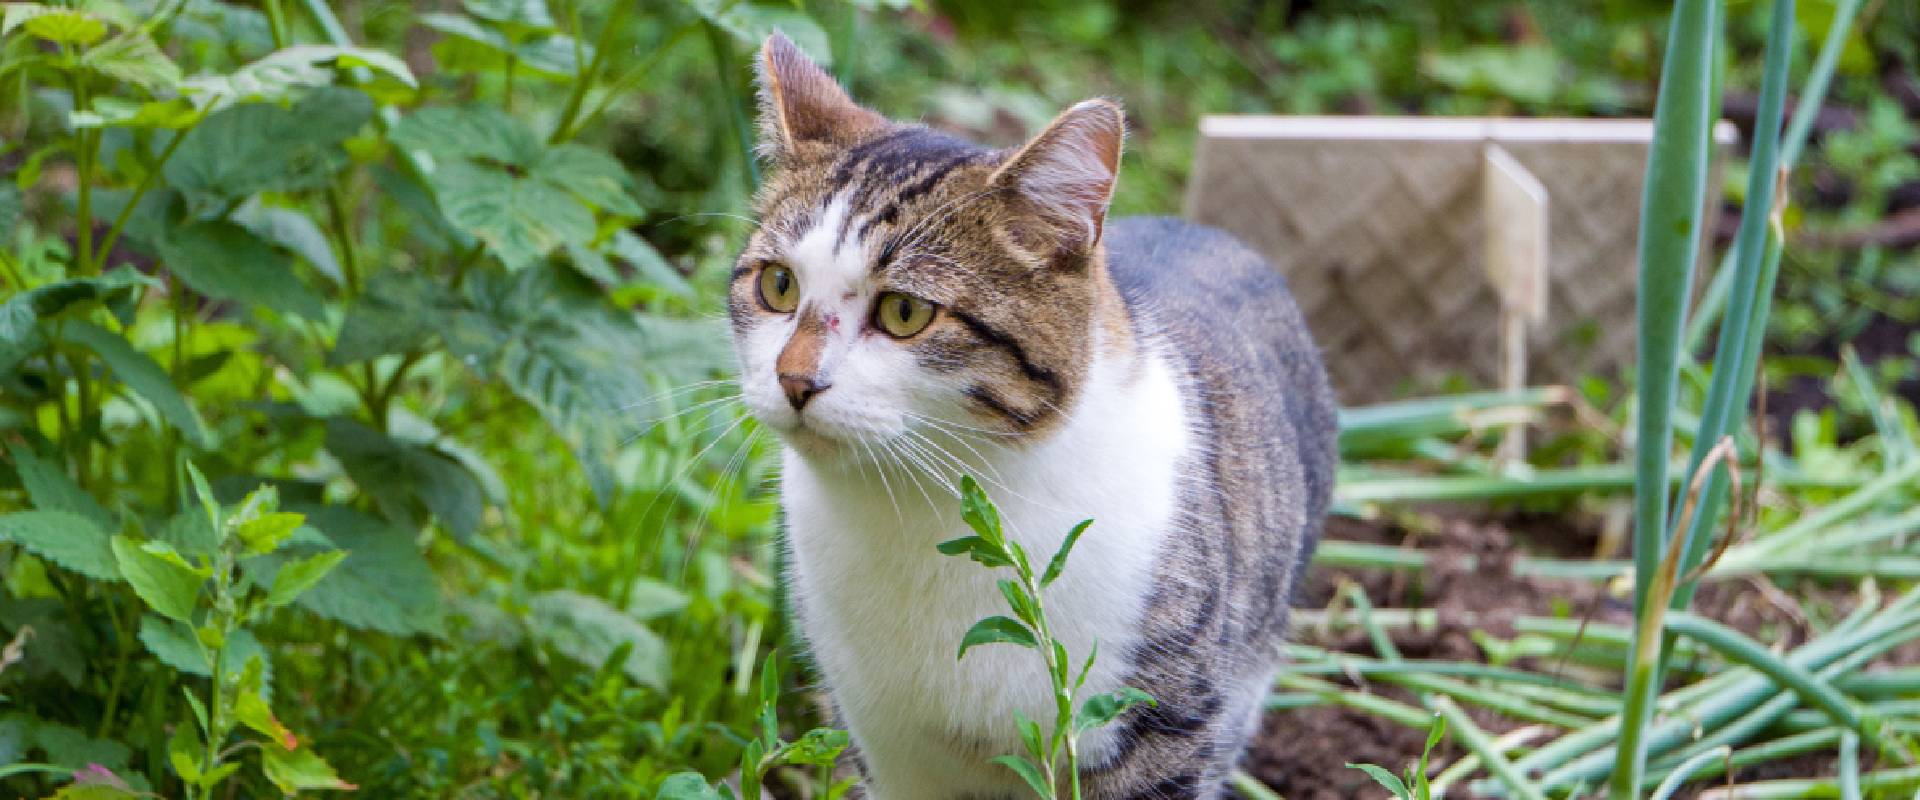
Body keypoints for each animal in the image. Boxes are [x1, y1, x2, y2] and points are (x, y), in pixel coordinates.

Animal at [725, 32, 1344, 798]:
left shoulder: (1153, 725)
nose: (794, 378)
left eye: (905, 312)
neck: (917, 512)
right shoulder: (884, 743)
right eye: (779, 285)